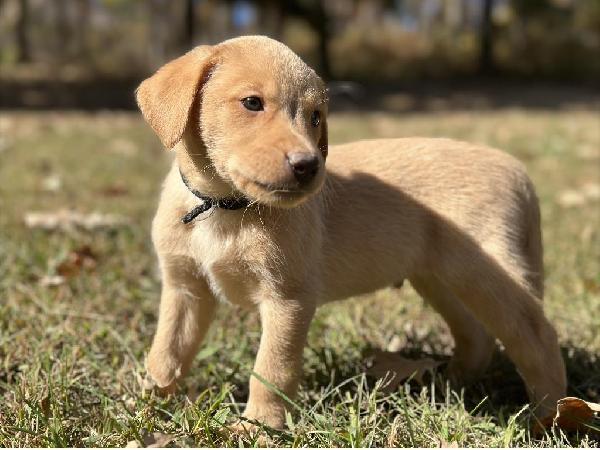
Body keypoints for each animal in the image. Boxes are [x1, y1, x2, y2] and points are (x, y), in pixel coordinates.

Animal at [136, 35, 568, 428]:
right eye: (252, 103)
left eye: (315, 116)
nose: (309, 166)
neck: (224, 206)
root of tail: (518, 170)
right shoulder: (185, 287)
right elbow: (166, 352)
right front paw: (148, 406)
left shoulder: (288, 298)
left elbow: (271, 369)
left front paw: (259, 426)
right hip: (439, 278)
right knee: (477, 336)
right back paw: (451, 385)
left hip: (486, 275)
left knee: (538, 336)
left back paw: (550, 417)